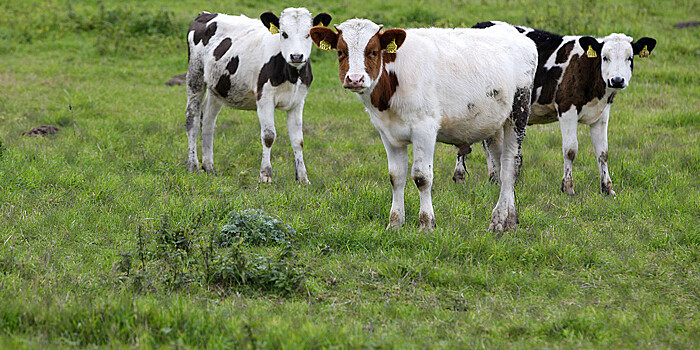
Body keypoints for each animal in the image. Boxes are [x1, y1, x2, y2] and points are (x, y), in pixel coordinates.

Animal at [183, 7, 330, 183]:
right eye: (284, 33)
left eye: (308, 34)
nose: (296, 56)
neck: (292, 75)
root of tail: (205, 14)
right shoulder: (264, 99)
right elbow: (269, 136)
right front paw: (265, 175)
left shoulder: (298, 101)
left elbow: (298, 140)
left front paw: (302, 178)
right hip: (195, 76)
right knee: (192, 119)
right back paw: (193, 166)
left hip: (217, 87)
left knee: (208, 121)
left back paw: (209, 167)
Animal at [310, 19, 536, 232]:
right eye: (341, 52)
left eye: (373, 51)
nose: (355, 79)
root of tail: (513, 32)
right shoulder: (388, 134)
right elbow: (396, 176)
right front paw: (395, 224)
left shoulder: (424, 130)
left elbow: (422, 177)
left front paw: (426, 224)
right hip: (495, 125)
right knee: (501, 166)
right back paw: (509, 219)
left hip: (518, 112)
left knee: (510, 166)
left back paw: (497, 221)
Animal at [456, 21, 660, 197]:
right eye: (605, 57)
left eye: (629, 58)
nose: (617, 80)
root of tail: (479, 24)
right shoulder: (567, 109)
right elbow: (570, 150)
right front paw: (568, 188)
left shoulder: (602, 114)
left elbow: (603, 152)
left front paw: (607, 189)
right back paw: (461, 176)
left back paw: (493, 178)